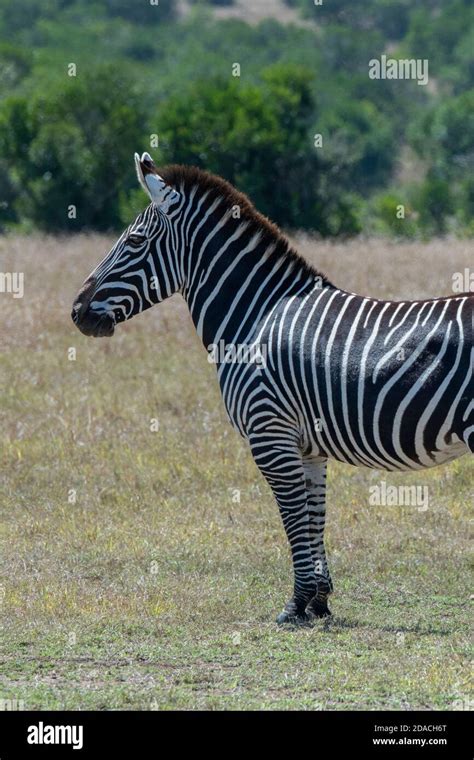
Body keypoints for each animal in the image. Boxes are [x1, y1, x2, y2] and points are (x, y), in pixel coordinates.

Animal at [72, 153, 472, 624]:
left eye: (134, 241)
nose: (77, 311)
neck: (254, 316)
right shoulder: (309, 446)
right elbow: (314, 515)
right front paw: (318, 602)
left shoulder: (269, 433)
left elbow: (292, 516)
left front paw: (295, 605)